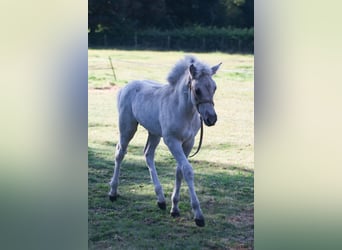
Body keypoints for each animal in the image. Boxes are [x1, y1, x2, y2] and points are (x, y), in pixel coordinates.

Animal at [109, 55, 222, 227]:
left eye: (214, 88)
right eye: (197, 90)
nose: (211, 118)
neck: (182, 110)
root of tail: (125, 87)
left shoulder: (188, 142)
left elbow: (179, 171)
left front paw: (174, 208)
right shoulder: (172, 141)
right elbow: (187, 170)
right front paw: (198, 215)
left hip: (154, 133)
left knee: (148, 155)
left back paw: (161, 200)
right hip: (127, 128)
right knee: (120, 153)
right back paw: (113, 193)